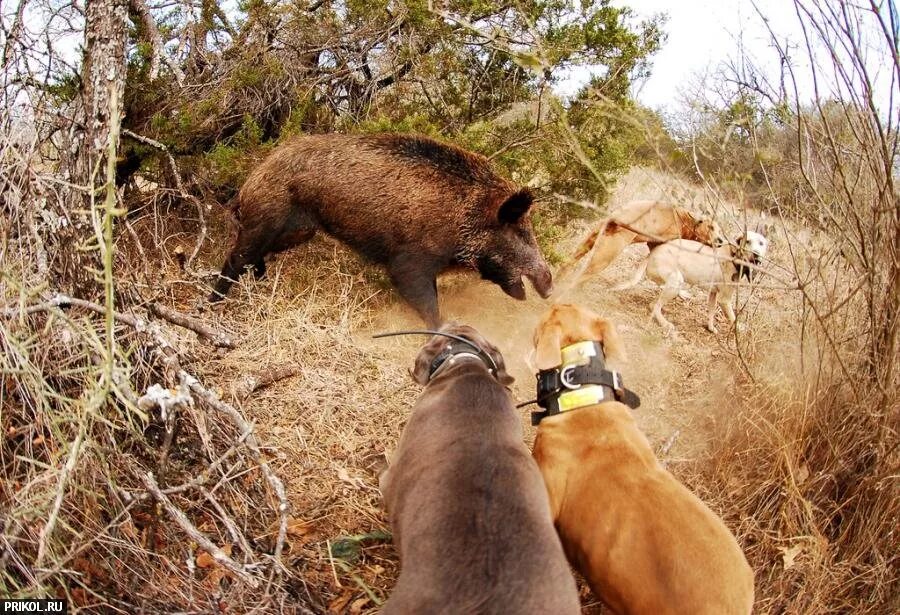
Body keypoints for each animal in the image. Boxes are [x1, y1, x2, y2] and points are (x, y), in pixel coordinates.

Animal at [560, 201, 720, 290]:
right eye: (711, 227)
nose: (720, 240)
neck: (686, 221)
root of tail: (616, 217)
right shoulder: (657, 244)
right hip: (603, 259)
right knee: (576, 279)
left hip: (586, 246)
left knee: (566, 266)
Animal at [620, 231, 772, 336]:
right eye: (748, 241)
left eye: (761, 243)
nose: (756, 253)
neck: (734, 255)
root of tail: (651, 253)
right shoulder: (724, 300)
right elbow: (733, 318)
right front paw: (739, 328)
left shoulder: (713, 294)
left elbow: (711, 312)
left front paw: (711, 328)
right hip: (676, 281)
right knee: (654, 306)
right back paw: (665, 323)